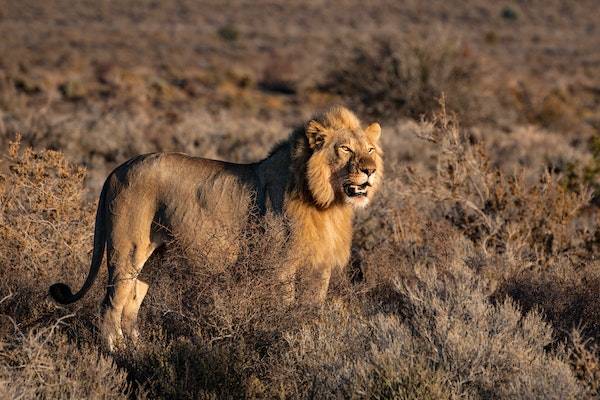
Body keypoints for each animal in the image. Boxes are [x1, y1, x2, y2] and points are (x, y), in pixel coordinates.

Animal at [48, 107, 384, 350]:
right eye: (345, 149)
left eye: (370, 149)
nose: (370, 171)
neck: (327, 203)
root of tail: (116, 170)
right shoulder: (281, 267)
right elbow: (286, 309)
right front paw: (286, 338)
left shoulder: (320, 268)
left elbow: (312, 309)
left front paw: (311, 339)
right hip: (126, 250)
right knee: (110, 305)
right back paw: (115, 354)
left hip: (153, 258)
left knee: (131, 305)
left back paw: (139, 350)